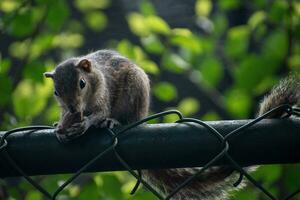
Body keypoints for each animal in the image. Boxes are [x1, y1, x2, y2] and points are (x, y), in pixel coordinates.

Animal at [44, 50, 300, 198]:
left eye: (82, 83)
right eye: (56, 92)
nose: (73, 109)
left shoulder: (103, 93)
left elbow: (99, 113)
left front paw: (87, 123)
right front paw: (61, 127)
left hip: (135, 92)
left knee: (127, 119)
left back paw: (113, 121)